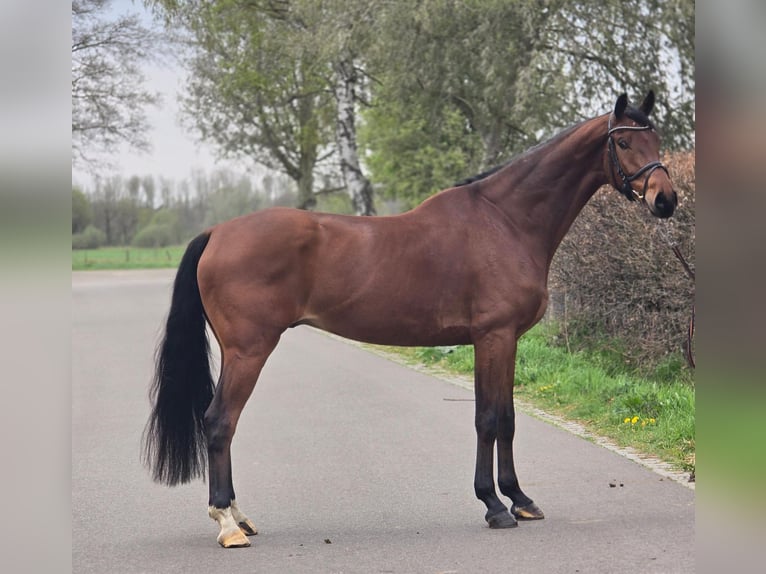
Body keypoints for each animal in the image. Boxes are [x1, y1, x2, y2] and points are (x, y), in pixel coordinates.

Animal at [143, 91, 677, 547]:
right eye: (624, 141)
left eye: (657, 139)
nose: (666, 200)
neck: (506, 220)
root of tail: (218, 232)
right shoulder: (493, 337)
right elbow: (487, 418)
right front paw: (493, 505)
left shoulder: (508, 341)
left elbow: (507, 418)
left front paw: (520, 500)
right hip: (249, 351)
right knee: (219, 422)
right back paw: (228, 523)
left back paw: (240, 517)